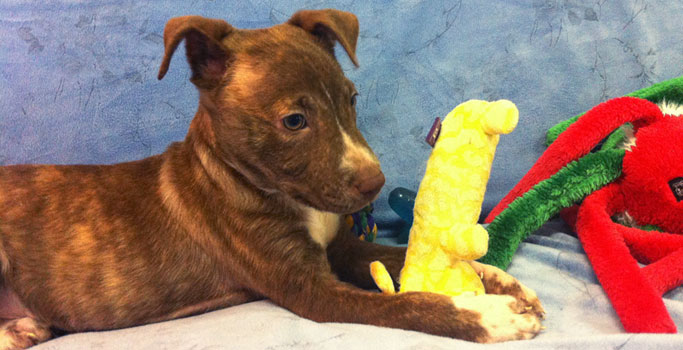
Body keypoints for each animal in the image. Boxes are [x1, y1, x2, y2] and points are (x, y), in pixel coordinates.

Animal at [0, 8, 544, 348]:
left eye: (351, 99)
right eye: (294, 121)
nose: (374, 184)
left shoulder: (341, 247)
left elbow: (395, 254)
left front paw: (498, 280)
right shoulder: (310, 288)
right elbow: (410, 305)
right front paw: (489, 316)